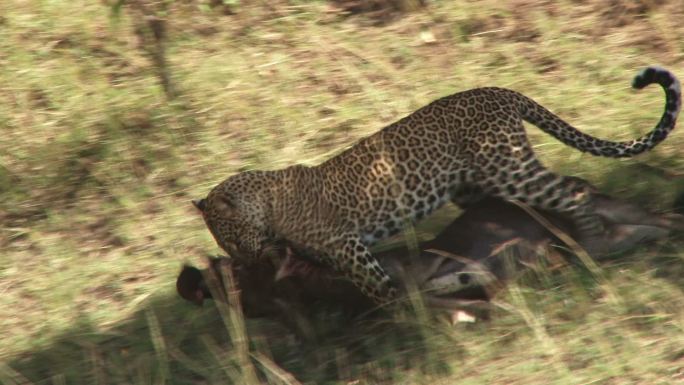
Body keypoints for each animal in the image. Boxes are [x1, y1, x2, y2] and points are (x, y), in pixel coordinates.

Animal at [192, 67, 680, 306]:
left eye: (230, 237)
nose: (242, 260)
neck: (268, 206)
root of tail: (498, 91)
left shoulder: (346, 244)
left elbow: (376, 284)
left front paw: (402, 306)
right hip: (477, 187)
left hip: (508, 167)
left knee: (574, 191)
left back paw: (593, 246)